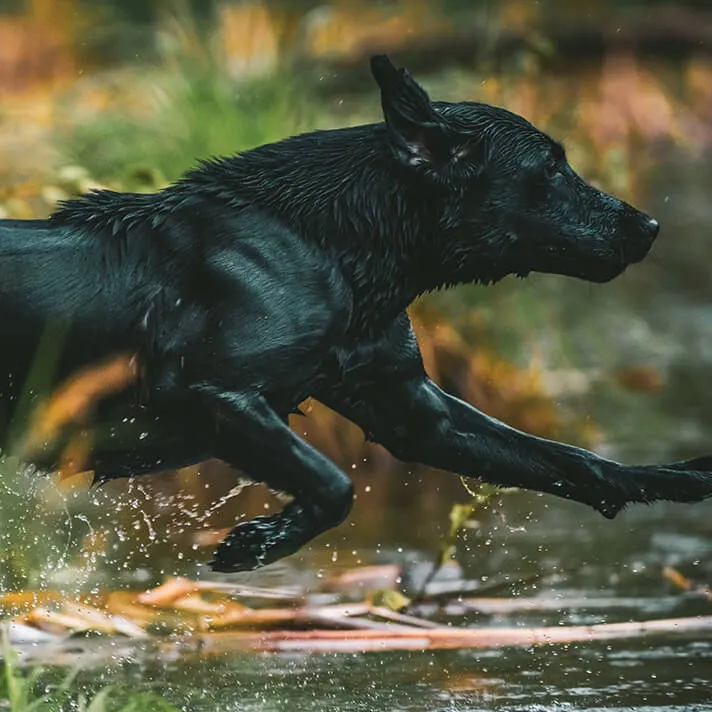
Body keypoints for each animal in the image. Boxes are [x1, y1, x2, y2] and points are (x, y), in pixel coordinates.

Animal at [1, 52, 712, 572]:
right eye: (552, 167)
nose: (649, 226)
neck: (332, 244)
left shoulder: (409, 407)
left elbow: (578, 461)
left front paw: (679, 477)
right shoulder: (208, 390)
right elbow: (334, 484)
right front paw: (261, 542)